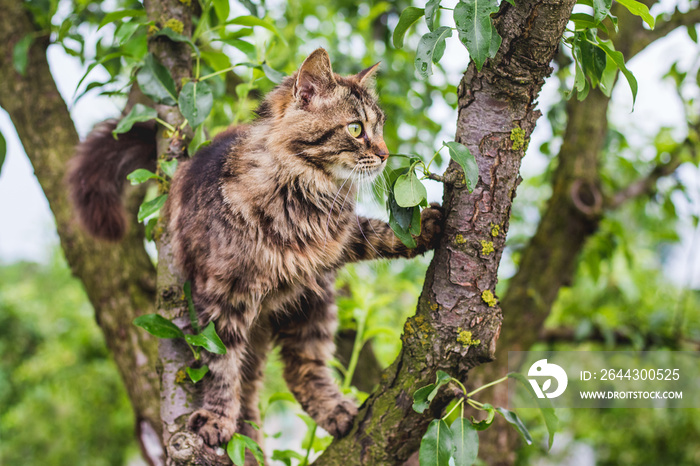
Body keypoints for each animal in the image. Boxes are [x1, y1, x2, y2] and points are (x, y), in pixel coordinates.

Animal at [69, 47, 442, 448]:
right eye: (356, 128)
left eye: (381, 126)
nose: (386, 154)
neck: (303, 195)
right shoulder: (222, 299)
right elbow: (221, 368)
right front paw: (217, 417)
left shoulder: (336, 241)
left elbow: (376, 232)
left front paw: (424, 227)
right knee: (258, 383)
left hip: (313, 305)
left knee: (302, 370)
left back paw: (336, 412)